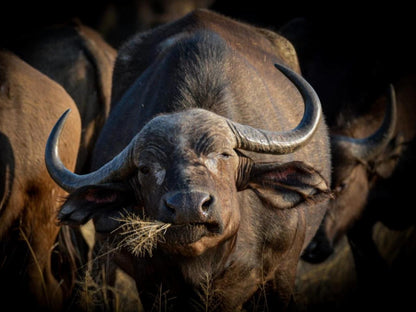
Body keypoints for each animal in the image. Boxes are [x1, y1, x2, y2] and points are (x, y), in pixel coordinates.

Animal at [45, 9, 332, 312]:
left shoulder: (283, 272)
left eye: (225, 154)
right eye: (145, 169)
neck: (203, 263)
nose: (188, 206)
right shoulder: (151, 284)